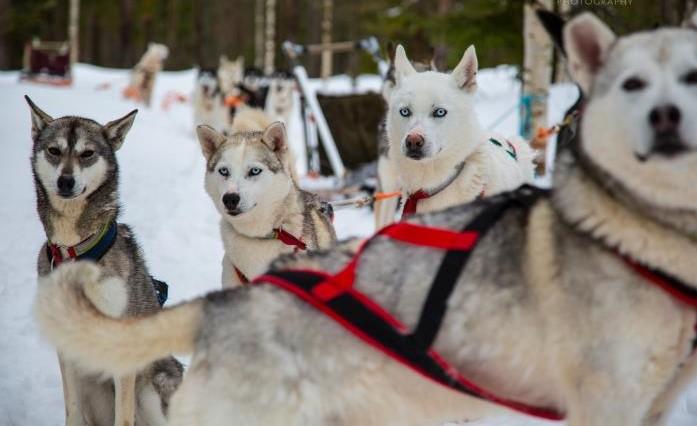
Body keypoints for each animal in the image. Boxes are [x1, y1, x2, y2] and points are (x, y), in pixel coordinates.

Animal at [27, 97, 184, 426]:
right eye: (54, 151)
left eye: (87, 153)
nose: (65, 181)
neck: (77, 254)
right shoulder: (68, 347)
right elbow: (71, 409)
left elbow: (122, 417)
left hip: (153, 385)